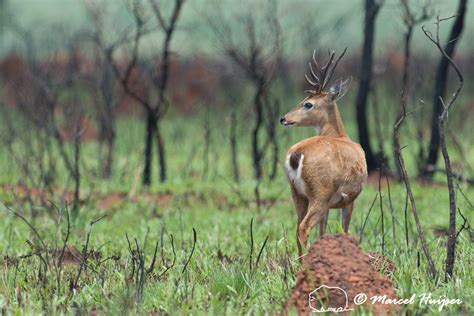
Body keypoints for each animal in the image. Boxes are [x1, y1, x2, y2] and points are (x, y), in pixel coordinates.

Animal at [280, 48, 368, 258]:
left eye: (307, 104)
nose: (283, 118)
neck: (340, 135)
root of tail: (296, 155)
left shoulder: (329, 205)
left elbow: (323, 232)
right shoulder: (350, 199)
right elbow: (345, 230)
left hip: (298, 195)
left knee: (296, 228)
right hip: (319, 194)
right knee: (303, 228)